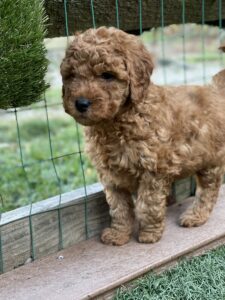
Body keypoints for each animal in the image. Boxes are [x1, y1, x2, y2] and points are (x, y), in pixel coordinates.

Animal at [60, 26, 225, 246]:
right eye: (71, 75)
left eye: (107, 75)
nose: (81, 103)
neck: (115, 123)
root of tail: (216, 91)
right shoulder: (111, 176)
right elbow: (119, 207)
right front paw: (118, 235)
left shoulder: (153, 171)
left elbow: (148, 205)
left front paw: (149, 234)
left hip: (211, 160)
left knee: (209, 190)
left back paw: (195, 216)